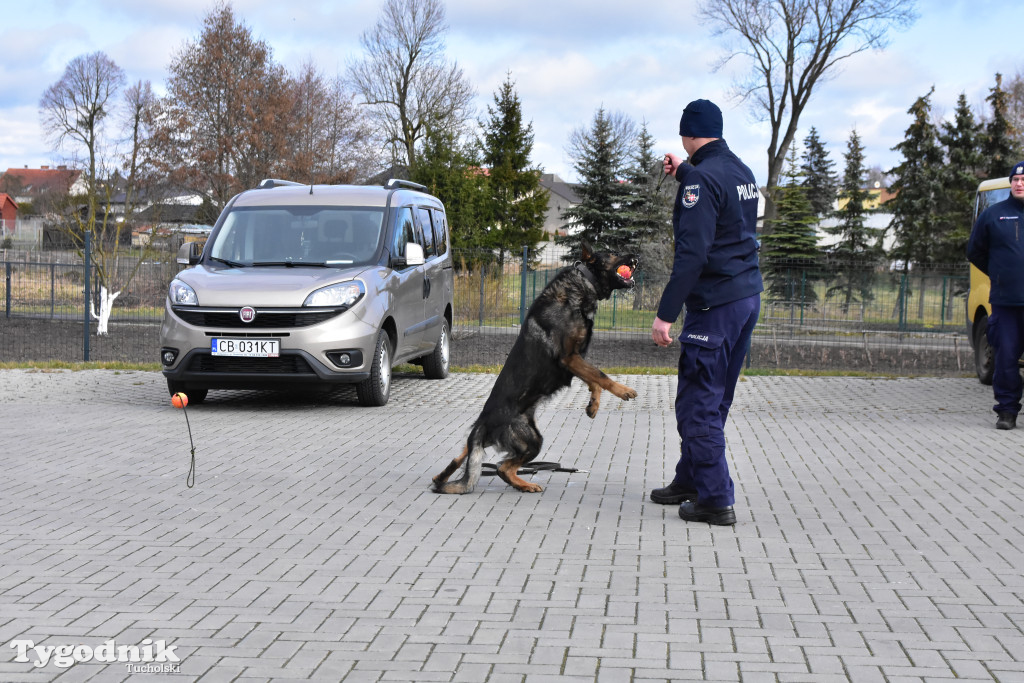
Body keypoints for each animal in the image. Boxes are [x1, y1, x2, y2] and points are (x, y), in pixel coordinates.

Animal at [432, 242, 638, 493]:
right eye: (611, 253)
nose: (636, 256)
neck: (582, 283)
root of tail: (484, 422)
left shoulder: (575, 360)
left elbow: (594, 381)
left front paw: (594, 405)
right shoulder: (569, 358)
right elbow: (601, 375)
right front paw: (624, 391)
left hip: (504, 440)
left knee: (464, 455)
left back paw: (443, 477)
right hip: (532, 440)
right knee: (502, 467)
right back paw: (525, 484)